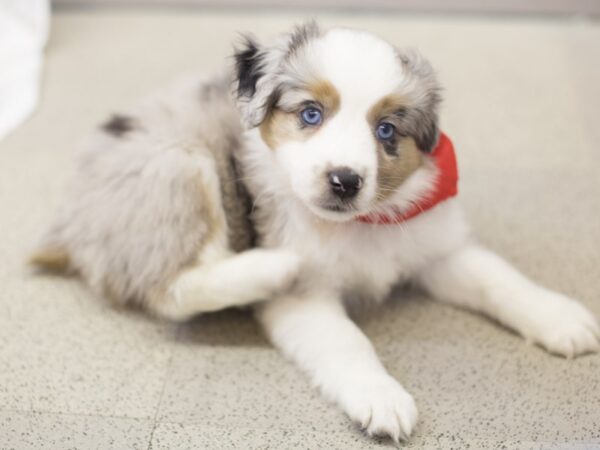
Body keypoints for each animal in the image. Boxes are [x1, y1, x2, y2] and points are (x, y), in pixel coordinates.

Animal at [32, 22, 600, 442]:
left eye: (386, 130)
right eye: (310, 113)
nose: (345, 181)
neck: (359, 227)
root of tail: (69, 224)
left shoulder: (434, 242)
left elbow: (498, 278)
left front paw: (561, 316)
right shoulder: (304, 300)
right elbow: (348, 342)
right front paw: (382, 397)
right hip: (176, 164)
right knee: (171, 288)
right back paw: (268, 267)